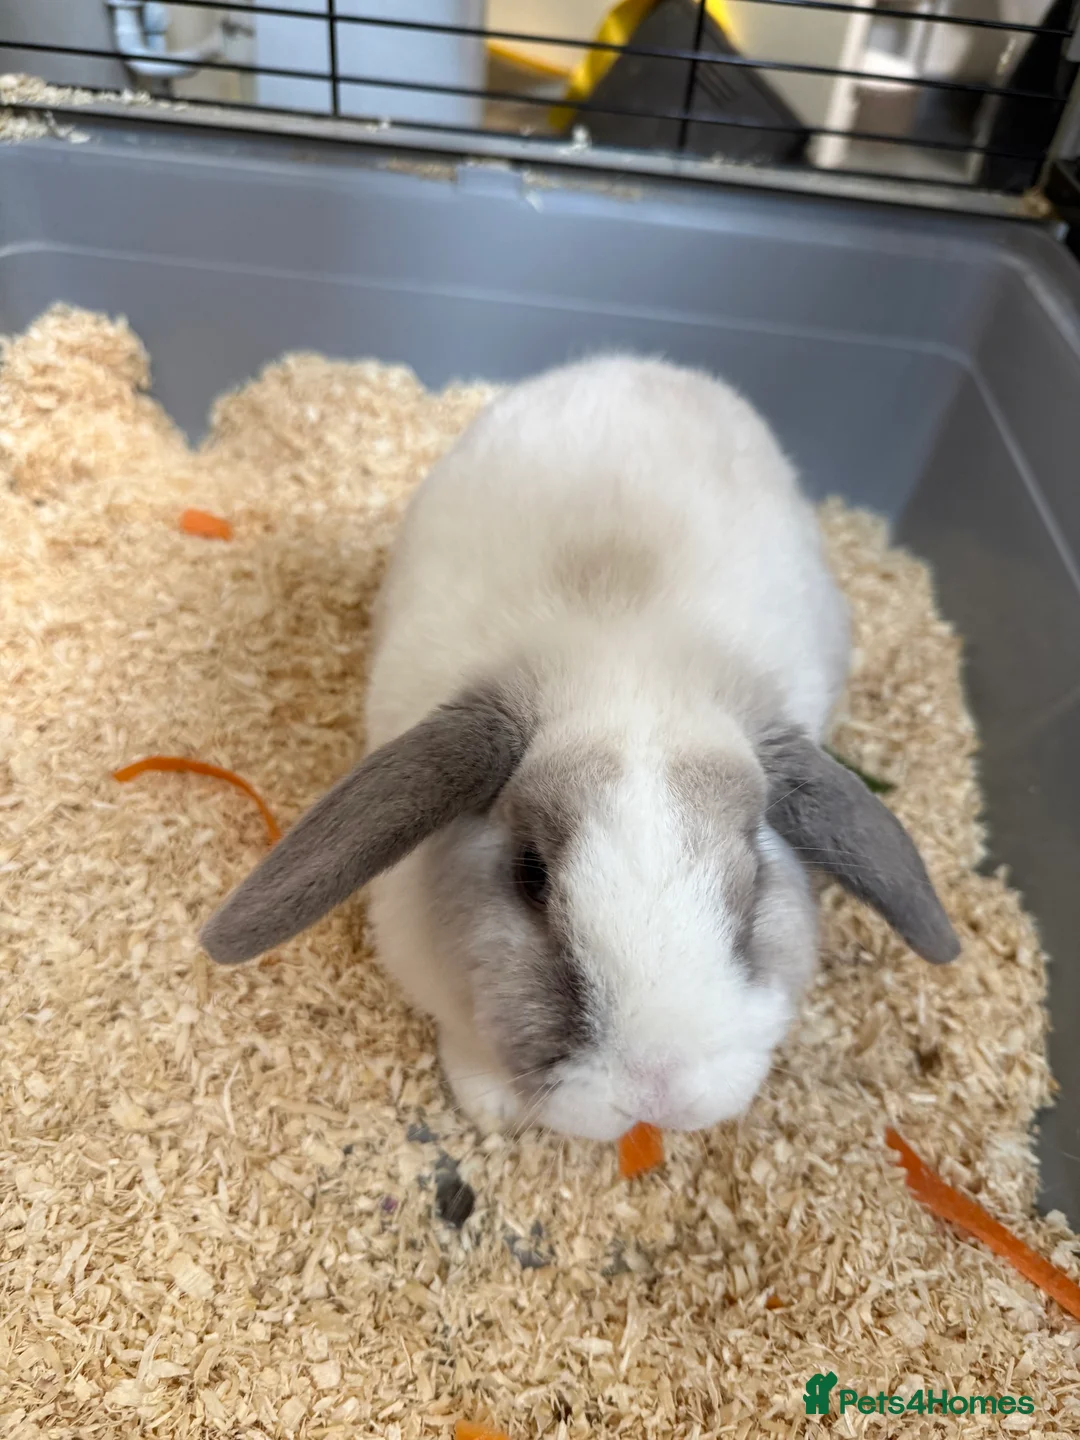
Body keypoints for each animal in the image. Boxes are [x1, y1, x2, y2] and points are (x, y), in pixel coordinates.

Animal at [200, 353, 960, 1141]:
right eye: (530, 876)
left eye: (754, 875)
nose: (656, 1091)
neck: (622, 658)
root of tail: (635, 362)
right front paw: (491, 1109)